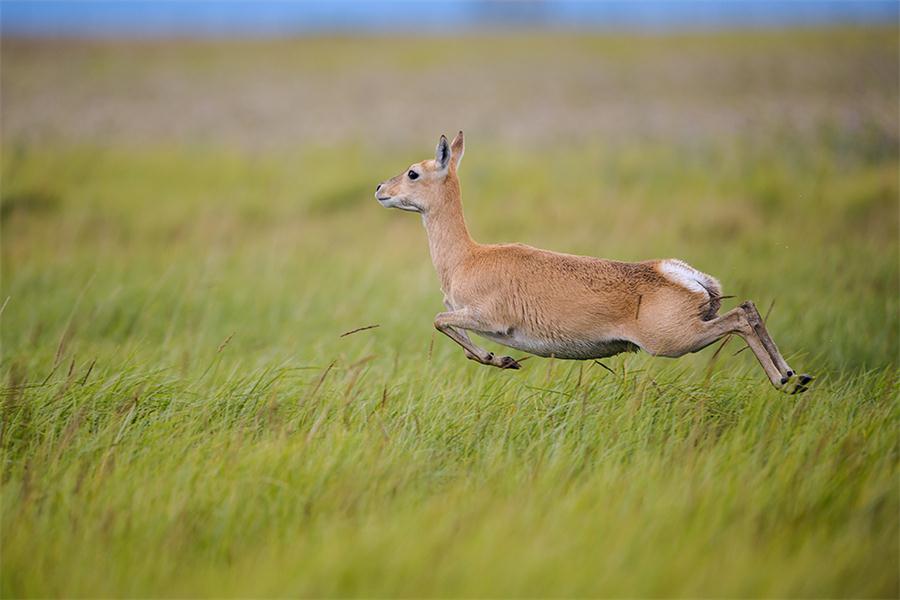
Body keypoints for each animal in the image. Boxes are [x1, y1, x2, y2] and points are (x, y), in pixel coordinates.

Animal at [376, 132, 812, 394]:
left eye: (413, 172)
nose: (380, 188)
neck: (468, 255)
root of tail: (673, 272)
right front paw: (502, 360)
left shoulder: (487, 318)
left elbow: (440, 321)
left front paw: (500, 359)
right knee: (749, 309)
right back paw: (795, 377)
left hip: (674, 342)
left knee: (740, 317)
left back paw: (785, 380)